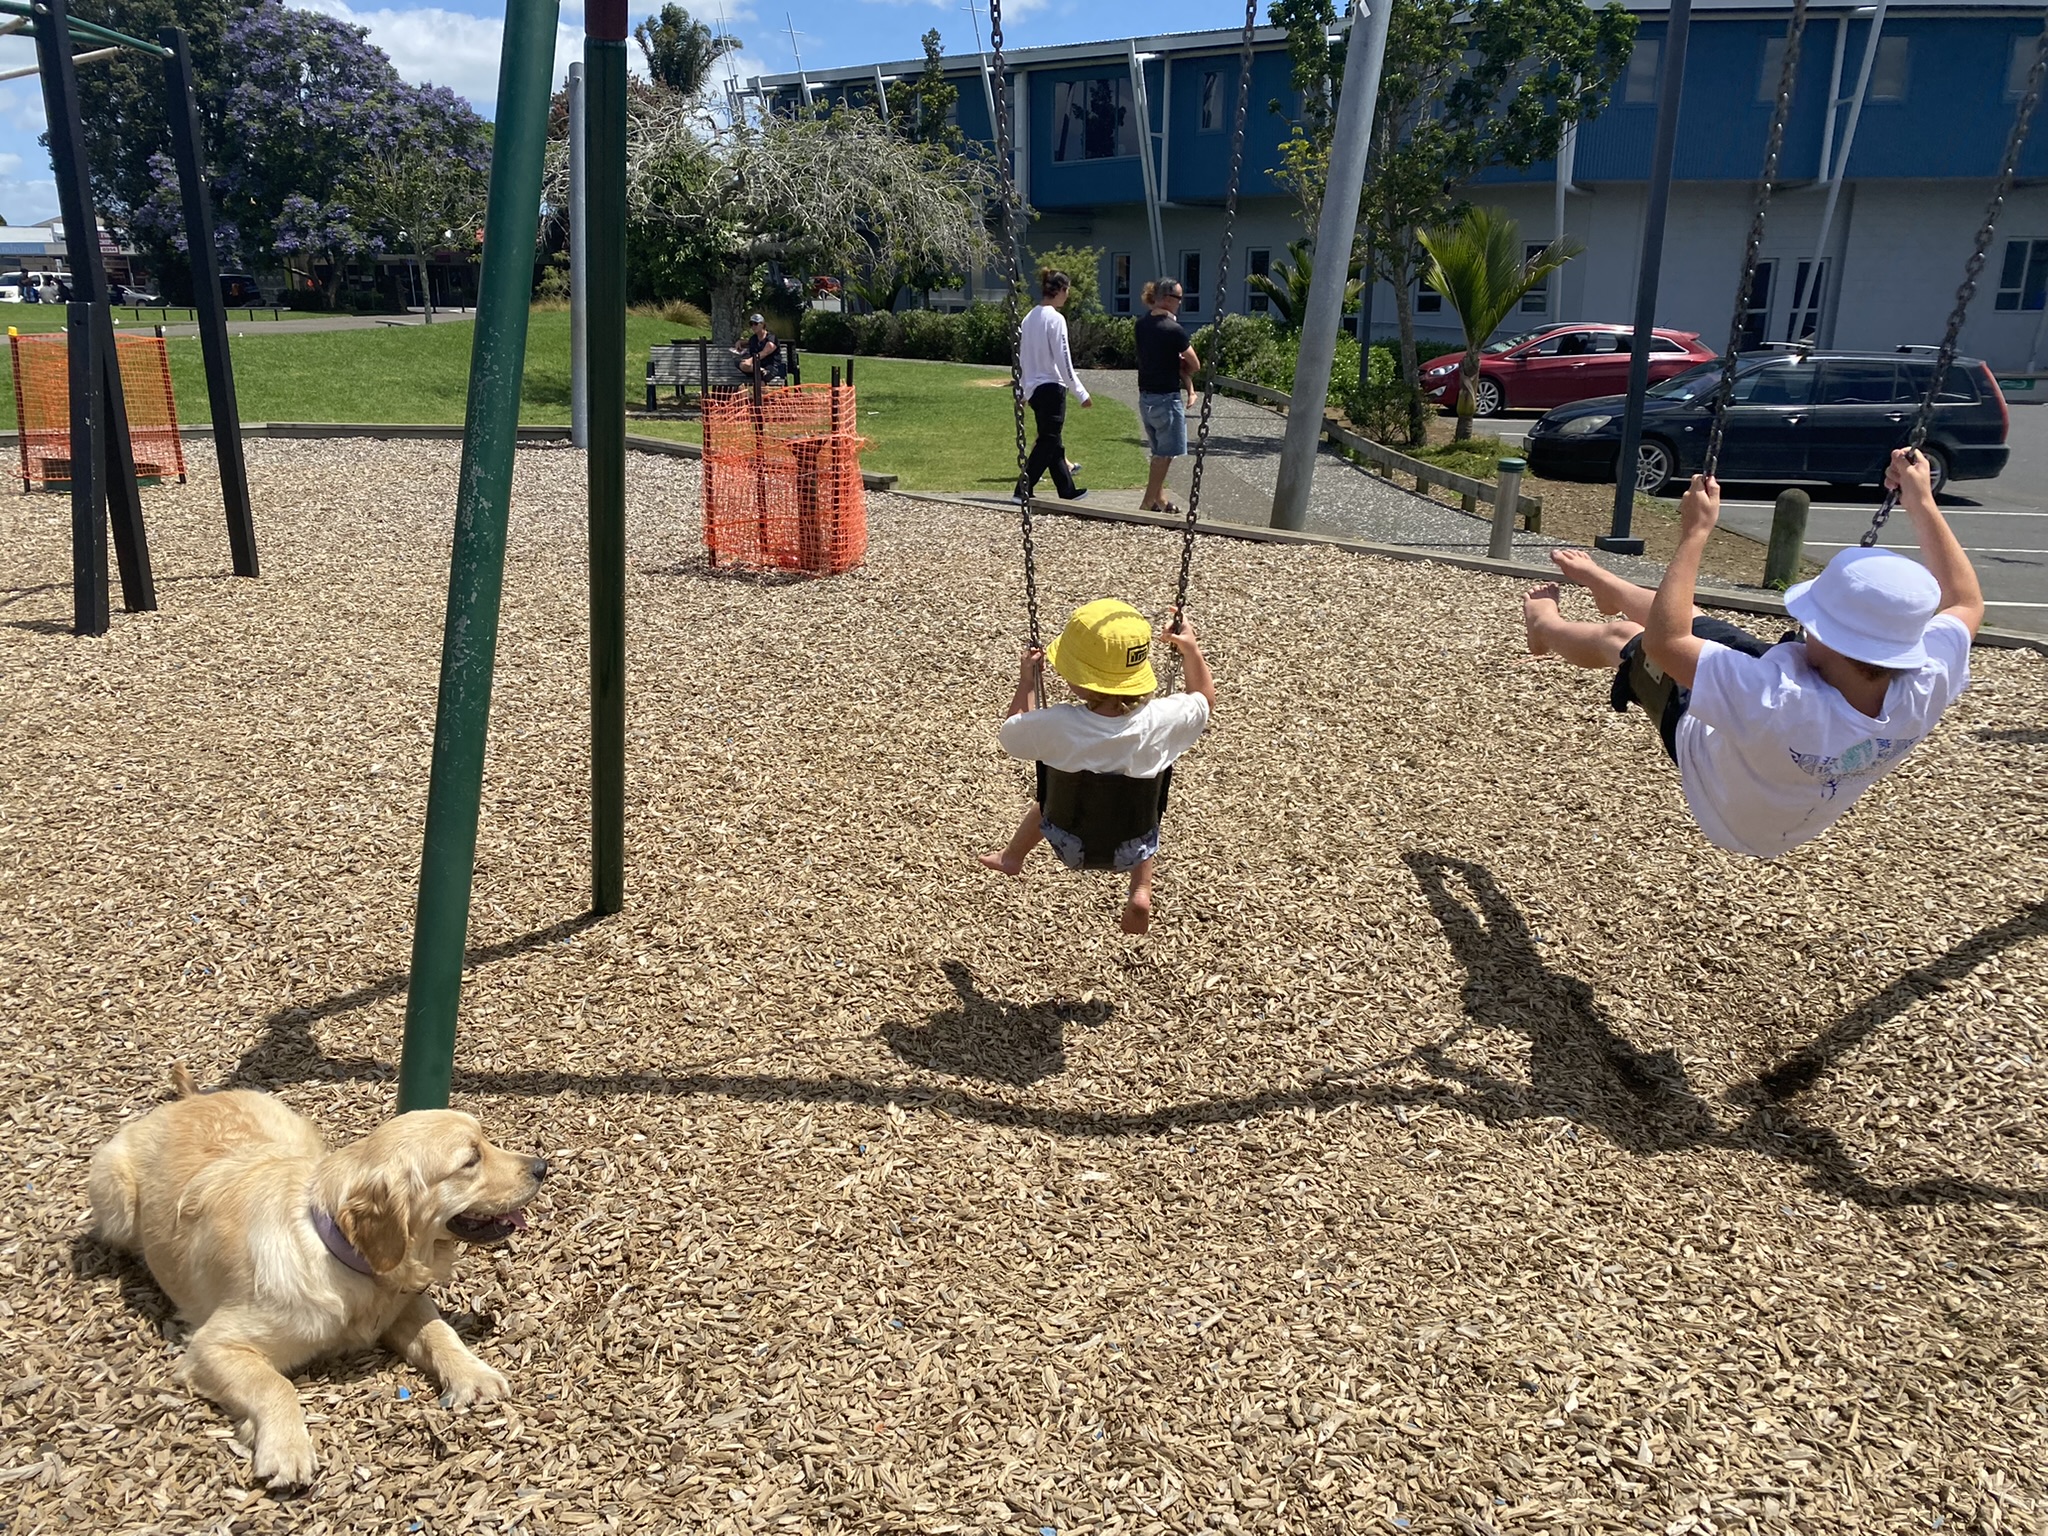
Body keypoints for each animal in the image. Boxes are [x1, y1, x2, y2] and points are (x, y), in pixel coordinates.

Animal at [90, 1073, 544, 1490]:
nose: (542, 1166)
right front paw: (286, 1449)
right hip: (115, 1195)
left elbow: (439, 1331)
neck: (342, 1254)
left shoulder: (402, 1299)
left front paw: (473, 1373)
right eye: (470, 1160)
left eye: (485, 1142)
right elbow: (274, 1384)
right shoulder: (213, 1345)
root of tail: (191, 1098)